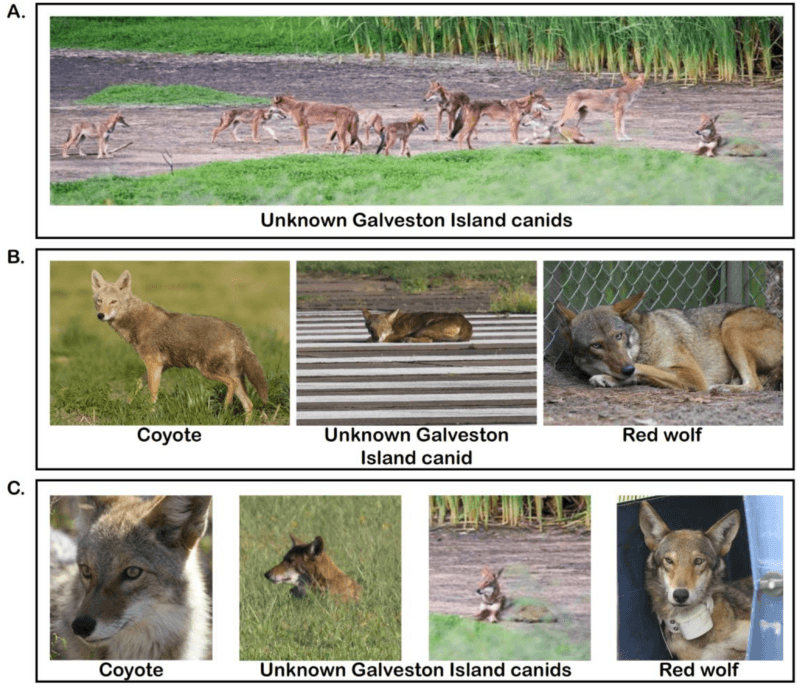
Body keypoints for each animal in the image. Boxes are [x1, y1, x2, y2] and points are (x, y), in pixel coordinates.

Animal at [91, 269, 270, 421]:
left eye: (113, 302)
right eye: (99, 301)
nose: (101, 315)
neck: (135, 321)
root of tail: (236, 330)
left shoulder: (154, 363)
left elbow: (152, 393)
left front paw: (150, 415)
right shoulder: (161, 366)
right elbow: (138, 384)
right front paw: (126, 405)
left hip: (207, 371)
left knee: (231, 384)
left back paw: (224, 409)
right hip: (229, 375)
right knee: (249, 405)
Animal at [554, 291, 782, 392]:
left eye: (618, 336)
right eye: (596, 345)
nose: (626, 369)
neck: (644, 343)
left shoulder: (693, 375)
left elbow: (644, 368)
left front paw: (614, 376)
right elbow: (644, 372)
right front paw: (612, 378)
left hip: (730, 325)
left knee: (754, 385)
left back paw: (723, 387)